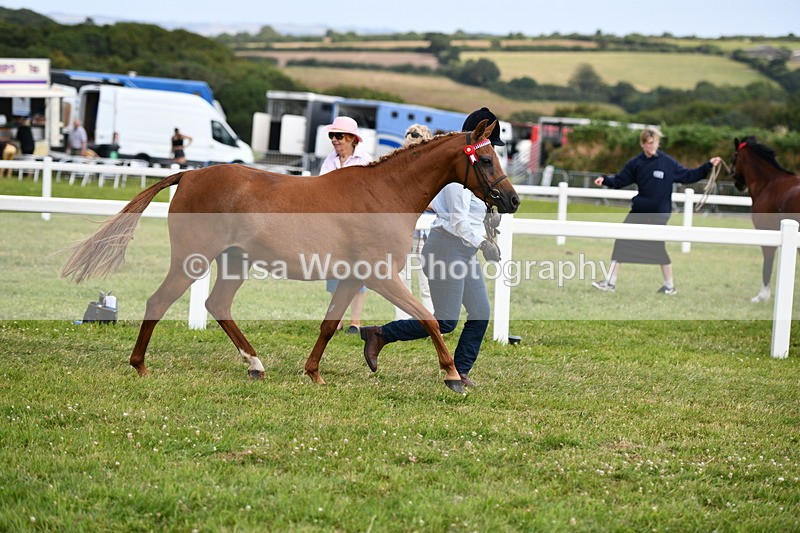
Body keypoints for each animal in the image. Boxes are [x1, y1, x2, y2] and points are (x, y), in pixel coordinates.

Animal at [61, 119, 520, 394]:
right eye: (487, 158)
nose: (512, 200)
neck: (385, 194)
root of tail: (189, 173)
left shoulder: (354, 277)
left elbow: (330, 325)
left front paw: (314, 372)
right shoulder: (380, 275)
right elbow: (427, 318)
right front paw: (453, 375)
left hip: (234, 262)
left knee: (217, 304)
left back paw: (255, 364)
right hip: (194, 259)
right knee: (159, 302)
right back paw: (140, 366)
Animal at [731, 136, 800, 302]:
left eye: (734, 157)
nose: (737, 183)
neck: (768, 183)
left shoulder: (766, 232)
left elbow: (767, 264)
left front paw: (762, 296)